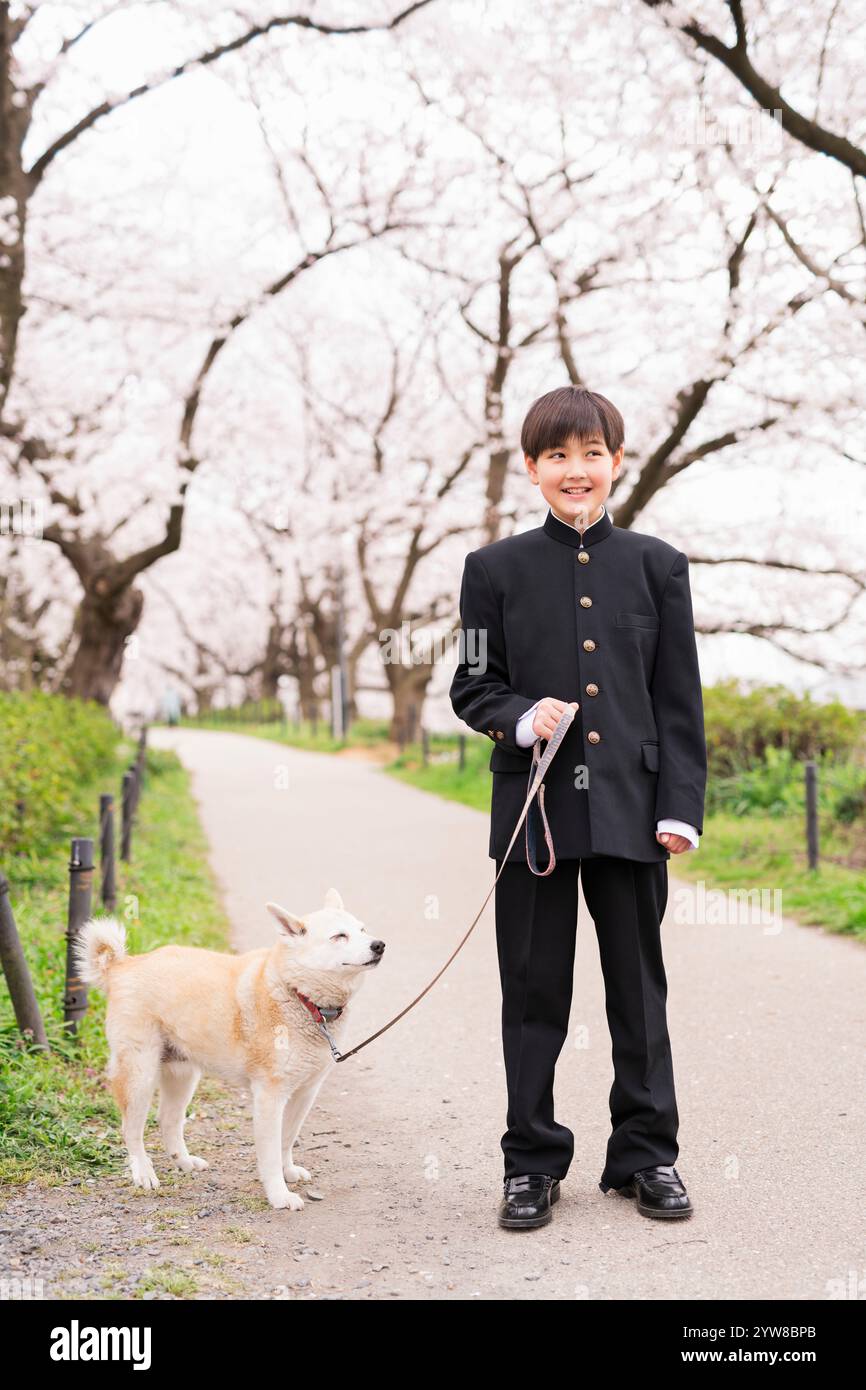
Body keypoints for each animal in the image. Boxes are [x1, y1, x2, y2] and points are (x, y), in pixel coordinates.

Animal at [74, 889, 386, 1206]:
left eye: (362, 930)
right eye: (339, 936)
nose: (379, 945)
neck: (300, 996)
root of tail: (122, 965)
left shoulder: (305, 1093)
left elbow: (286, 1140)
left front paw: (288, 1172)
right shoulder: (269, 1097)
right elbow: (271, 1154)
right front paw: (279, 1195)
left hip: (182, 1075)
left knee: (168, 1121)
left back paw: (183, 1162)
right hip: (140, 1076)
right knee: (131, 1129)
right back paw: (143, 1172)